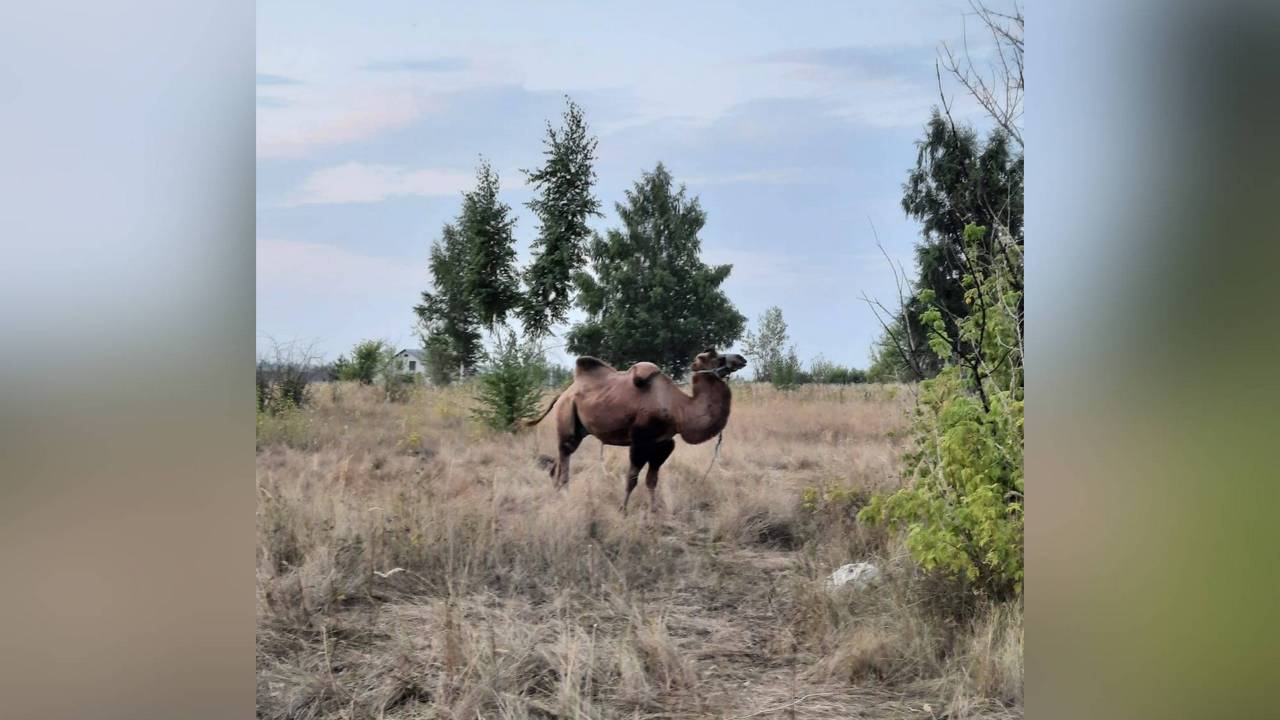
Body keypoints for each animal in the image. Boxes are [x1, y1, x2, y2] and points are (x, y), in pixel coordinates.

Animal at [522, 345, 747, 509]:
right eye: (717, 357)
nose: (741, 358)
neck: (679, 408)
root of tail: (564, 393)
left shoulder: (664, 444)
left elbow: (652, 480)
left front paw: (653, 511)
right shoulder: (639, 441)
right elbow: (632, 479)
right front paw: (623, 510)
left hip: (578, 428)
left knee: (558, 461)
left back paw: (557, 492)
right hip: (567, 415)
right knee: (565, 455)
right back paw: (564, 495)